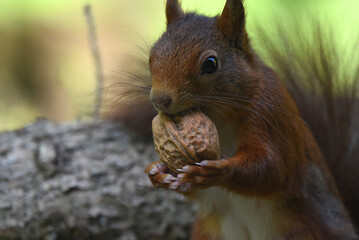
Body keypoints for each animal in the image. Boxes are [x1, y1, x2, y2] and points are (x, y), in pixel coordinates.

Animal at [110, 0, 359, 239]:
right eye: (151, 56)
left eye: (210, 63)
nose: (159, 100)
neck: (217, 118)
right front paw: (158, 172)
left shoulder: (269, 114)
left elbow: (272, 167)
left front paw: (217, 171)